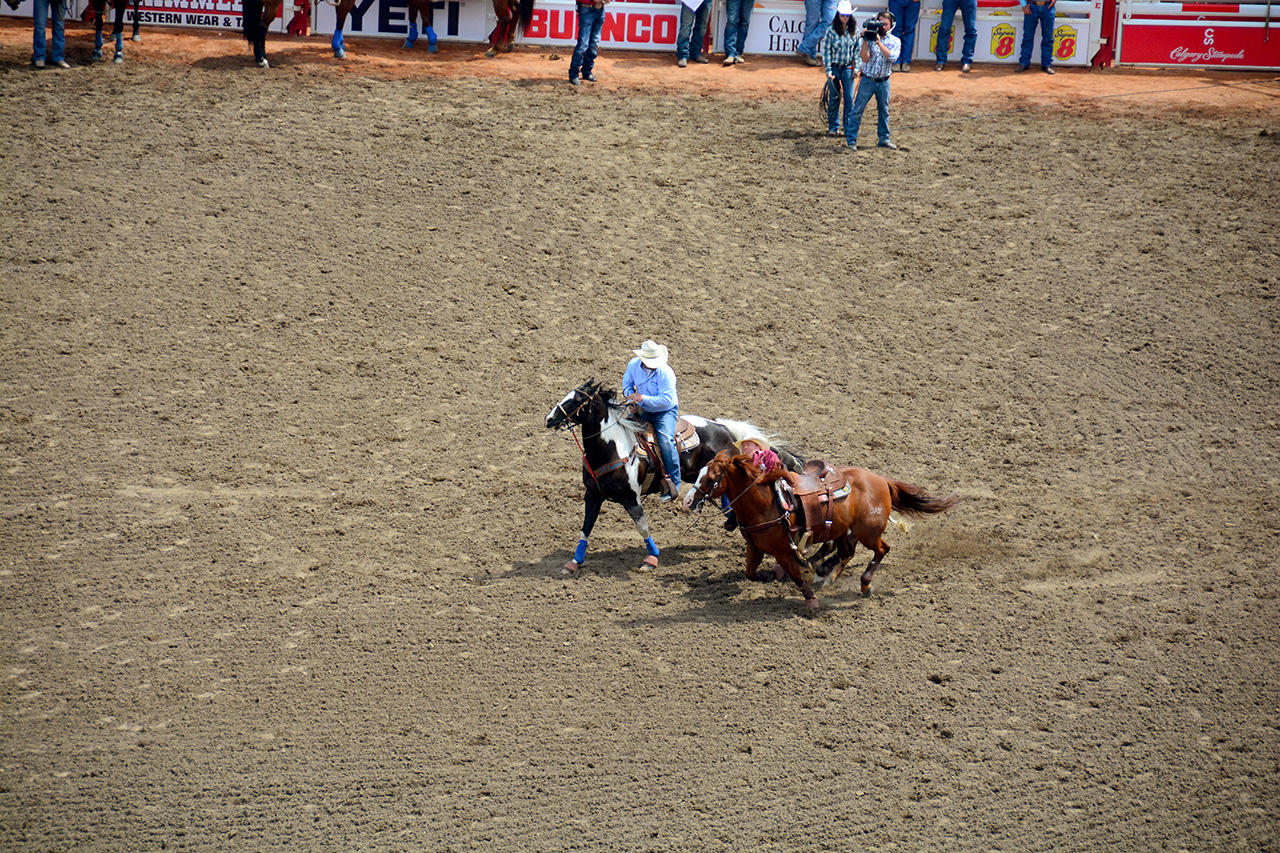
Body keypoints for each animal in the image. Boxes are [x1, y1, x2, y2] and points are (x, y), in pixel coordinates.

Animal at [545, 379, 803, 571]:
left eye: (577, 400)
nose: (549, 418)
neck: (611, 448)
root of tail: (724, 427)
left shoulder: (631, 498)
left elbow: (643, 527)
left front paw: (652, 559)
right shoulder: (593, 495)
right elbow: (586, 527)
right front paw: (574, 562)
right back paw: (730, 521)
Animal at [686, 448, 957, 607]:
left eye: (711, 478)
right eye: (699, 473)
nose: (688, 501)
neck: (766, 503)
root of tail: (881, 480)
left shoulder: (783, 550)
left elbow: (796, 575)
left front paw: (810, 599)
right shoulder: (755, 547)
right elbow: (750, 574)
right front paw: (769, 575)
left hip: (867, 532)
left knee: (881, 550)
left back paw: (864, 584)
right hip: (841, 531)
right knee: (847, 552)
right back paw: (826, 574)